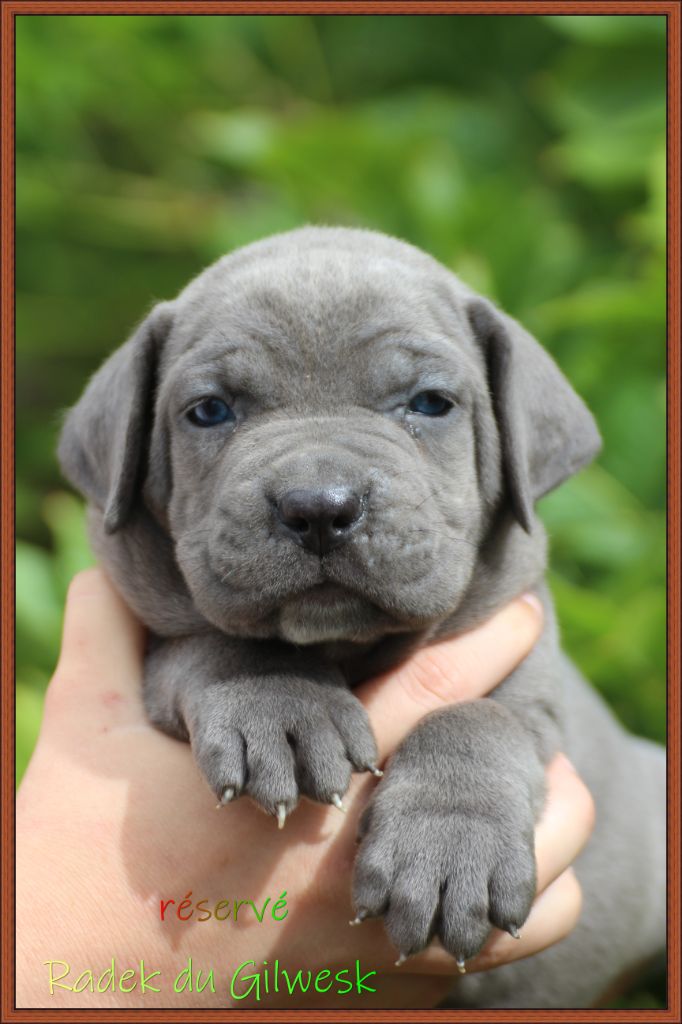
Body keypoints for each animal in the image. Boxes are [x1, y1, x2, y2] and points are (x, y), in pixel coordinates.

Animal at [58, 227, 666, 1008]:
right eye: (210, 411)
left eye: (431, 403)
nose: (319, 506)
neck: (346, 645)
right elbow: (217, 644)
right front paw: (283, 708)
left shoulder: (532, 666)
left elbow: (479, 716)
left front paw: (447, 846)